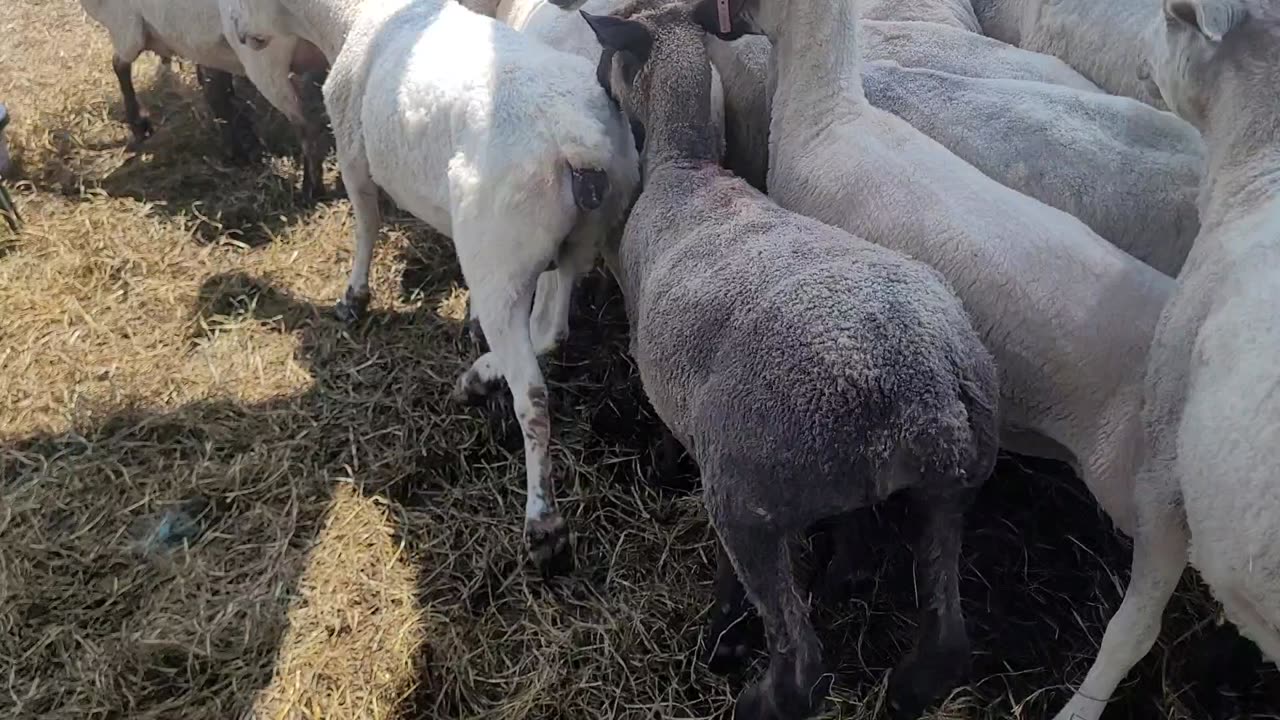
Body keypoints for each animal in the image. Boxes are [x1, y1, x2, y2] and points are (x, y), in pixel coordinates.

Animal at [78, 0, 332, 196]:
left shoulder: (128, 27)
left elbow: (119, 65)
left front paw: (139, 124)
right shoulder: (208, 49)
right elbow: (218, 93)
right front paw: (241, 149)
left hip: (265, 59)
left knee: (305, 123)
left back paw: (311, 189)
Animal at [222, 0, 640, 568]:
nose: (242, 36)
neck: (349, 20)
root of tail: (581, 144)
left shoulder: (352, 150)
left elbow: (366, 223)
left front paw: (353, 298)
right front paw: (461, 319)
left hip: (500, 250)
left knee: (532, 395)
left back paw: (542, 522)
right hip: (579, 238)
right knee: (550, 328)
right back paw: (480, 375)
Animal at [578, 7, 998, 717]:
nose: (595, 81)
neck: (687, 166)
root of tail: (927, 394)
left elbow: (666, 434)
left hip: (750, 492)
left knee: (800, 660)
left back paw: (751, 687)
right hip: (949, 489)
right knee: (946, 634)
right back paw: (903, 681)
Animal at [1049, 2, 1280, 712]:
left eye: (1172, 15)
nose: (1141, 60)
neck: (1257, 170)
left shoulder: (1166, 468)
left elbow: (1132, 630)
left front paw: (1080, 708)